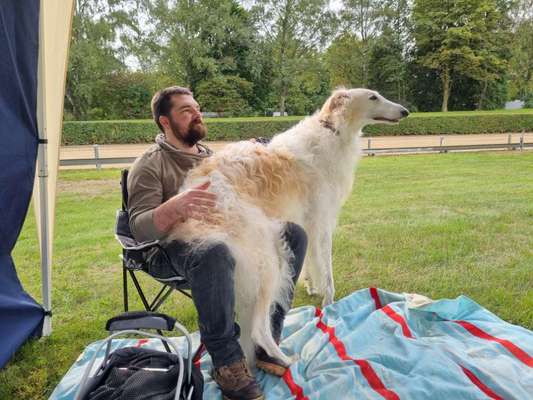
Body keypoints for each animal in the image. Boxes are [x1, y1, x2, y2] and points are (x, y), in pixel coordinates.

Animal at [168, 89, 410, 368]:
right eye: (373, 97)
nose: (406, 112)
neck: (332, 131)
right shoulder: (322, 222)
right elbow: (326, 268)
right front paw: (329, 302)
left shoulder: (307, 221)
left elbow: (311, 264)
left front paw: (312, 287)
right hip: (267, 260)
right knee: (258, 330)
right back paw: (286, 360)